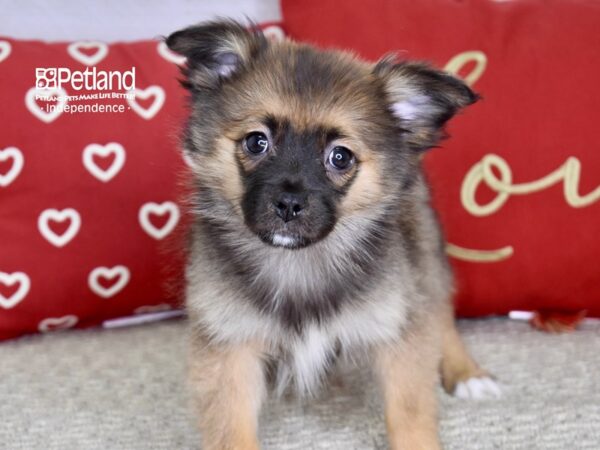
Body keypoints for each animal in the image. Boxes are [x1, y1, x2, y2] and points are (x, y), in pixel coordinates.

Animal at [166, 19, 500, 448]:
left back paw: (467, 373)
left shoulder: (397, 328)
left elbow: (410, 414)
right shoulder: (228, 343)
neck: (299, 261)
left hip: (424, 254)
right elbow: (231, 432)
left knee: (441, 313)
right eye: (257, 142)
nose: (289, 204)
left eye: (340, 157)